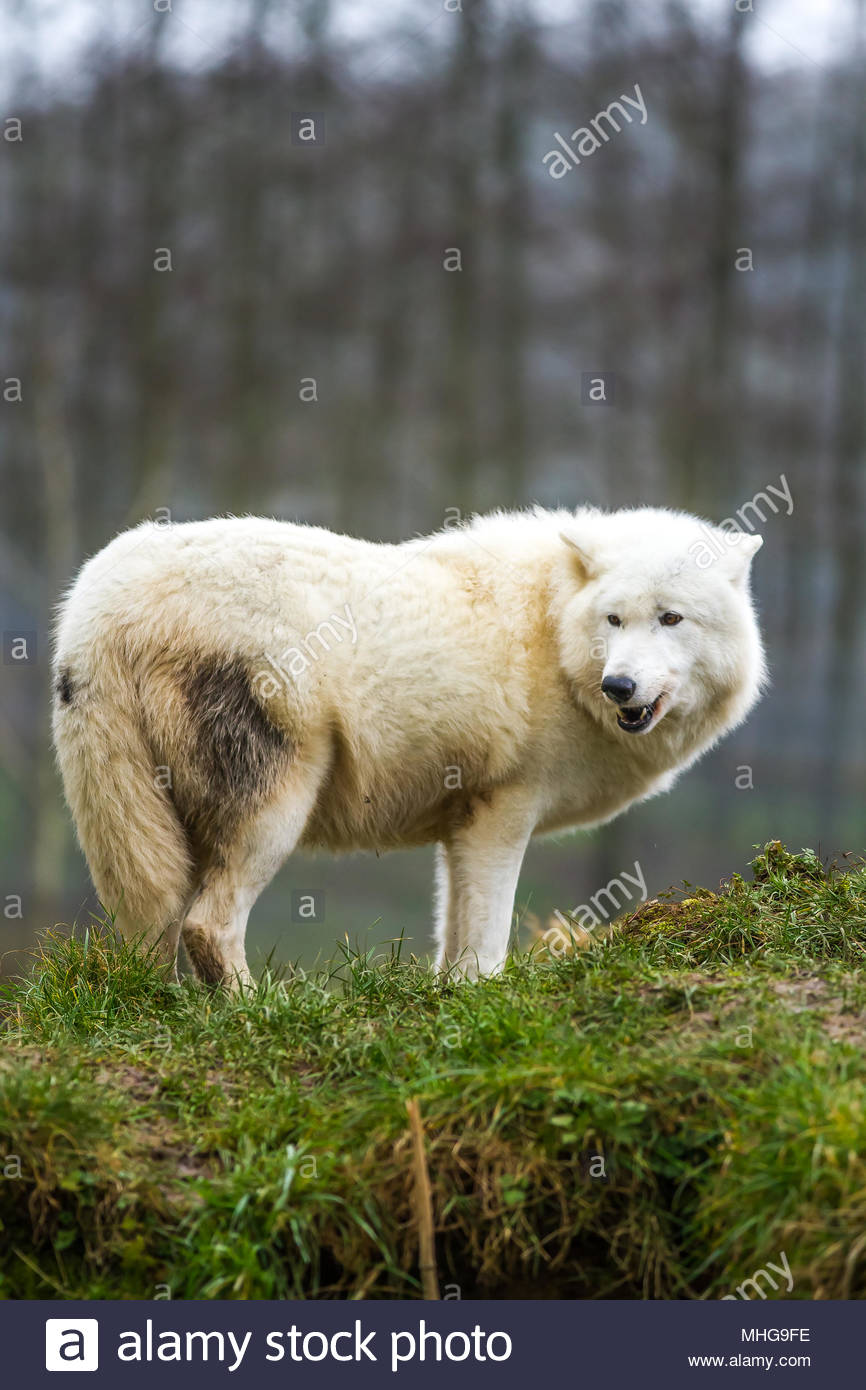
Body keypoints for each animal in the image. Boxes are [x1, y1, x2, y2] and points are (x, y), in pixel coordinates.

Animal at [52, 507, 765, 985]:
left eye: (670, 618)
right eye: (614, 620)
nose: (620, 686)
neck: (553, 629)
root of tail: (99, 609)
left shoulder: (459, 827)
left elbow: (451, 940)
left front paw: (447, 999)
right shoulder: (504, 814)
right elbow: (486, 944)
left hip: (159, 838)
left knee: (157, 936)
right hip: (272, 814)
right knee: (209, 926)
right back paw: (259, 1013)